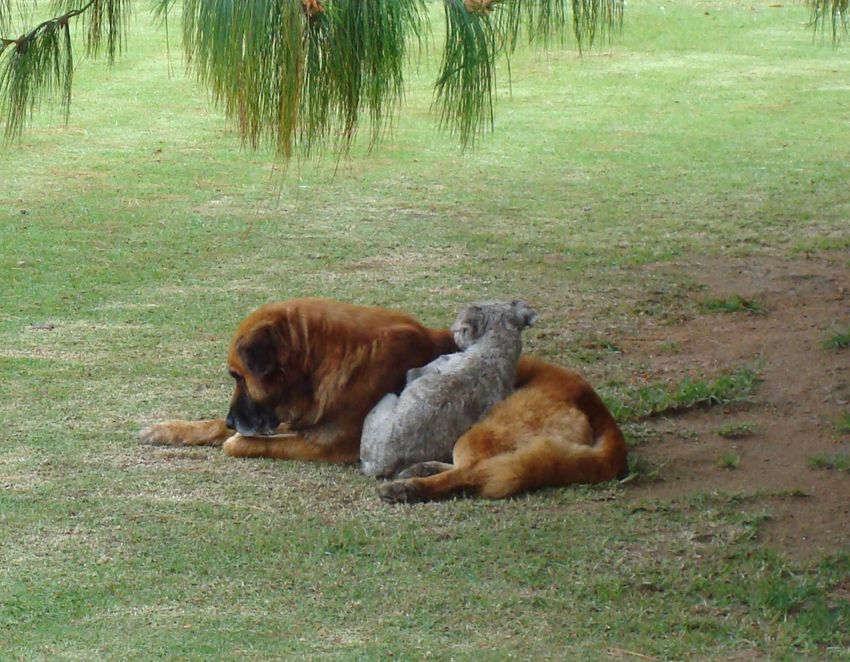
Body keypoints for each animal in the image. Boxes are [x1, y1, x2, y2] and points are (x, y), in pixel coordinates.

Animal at [139, 298, 458, 464]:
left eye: (238, 377)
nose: (232, 421)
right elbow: (214, 425)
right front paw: (169, 429)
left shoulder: (325, 446)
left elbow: (240, 443)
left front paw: (234, 438)